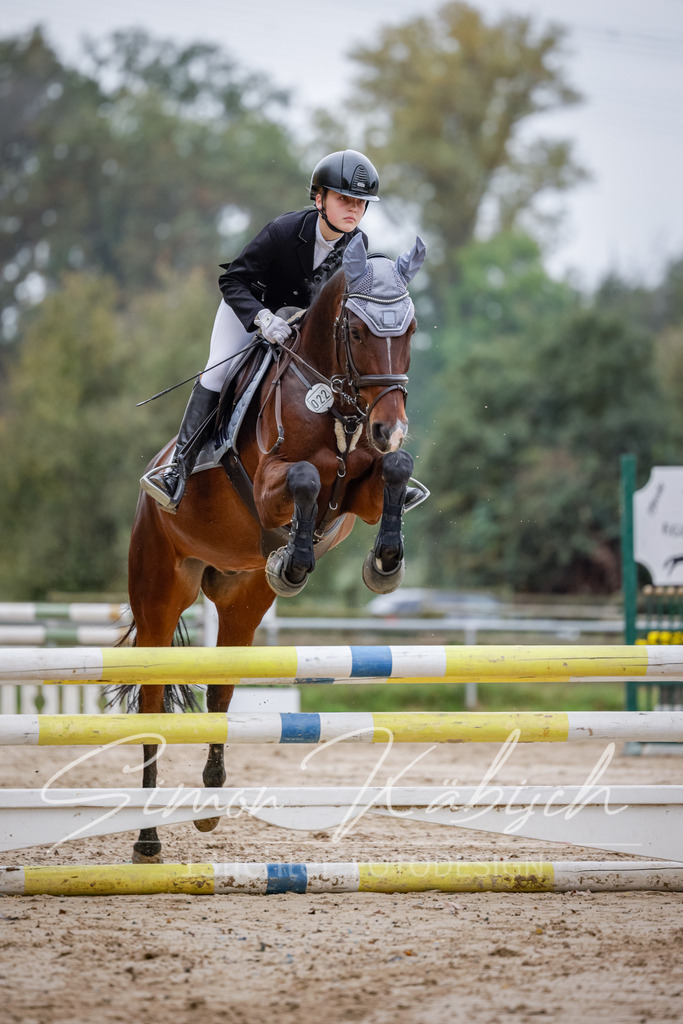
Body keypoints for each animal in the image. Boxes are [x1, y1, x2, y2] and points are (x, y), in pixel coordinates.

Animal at [124, 232, 427, 862]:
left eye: (410, 330)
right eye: (355, 331)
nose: (389, 426)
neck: (337, 404)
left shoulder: (359, 495)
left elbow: (395, 470)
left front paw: (384, 562)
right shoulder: (269, 489)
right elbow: (308, 480)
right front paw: (295, 562)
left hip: (242, 602)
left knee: (220, 692)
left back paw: (210, 807)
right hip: (159, 593)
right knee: (152, 700)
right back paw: (147, 838)